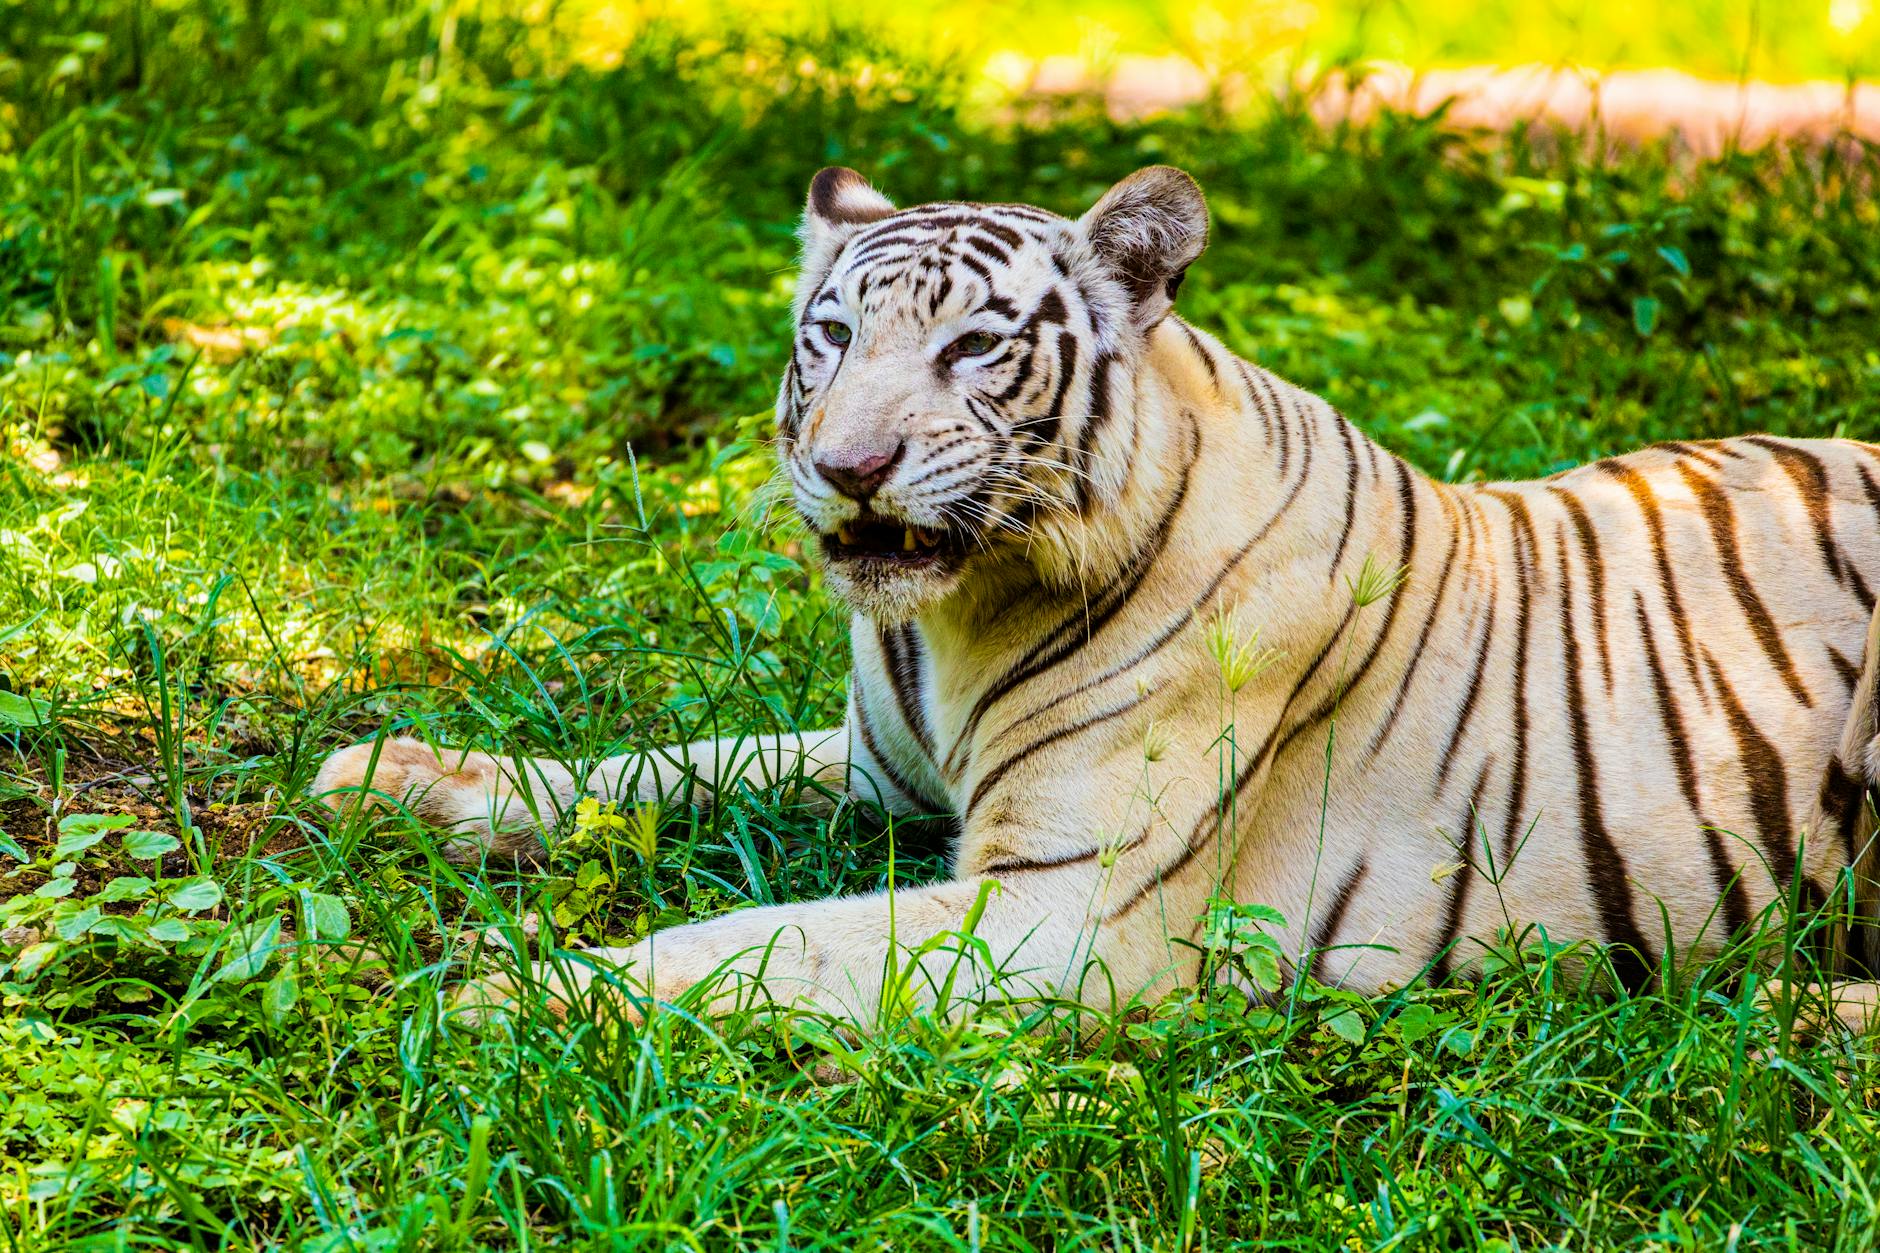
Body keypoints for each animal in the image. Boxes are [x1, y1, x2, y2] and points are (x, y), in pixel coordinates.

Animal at [314, 165, 1880, 1028]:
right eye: (832, 338)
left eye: (972, 347)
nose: (847, 467)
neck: (952, 616)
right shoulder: (879, 771)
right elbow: (660, 766)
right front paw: (405, 781)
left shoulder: (1060, 909)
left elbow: (743, 944)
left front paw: (512, 993)